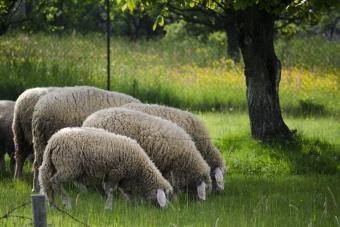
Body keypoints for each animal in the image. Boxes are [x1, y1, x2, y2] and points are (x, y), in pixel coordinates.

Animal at [39, 127, 173, 208]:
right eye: (165, 195)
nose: (165, 210)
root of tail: (53, 141)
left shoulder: (122, 179)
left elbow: (128, 195)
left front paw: (131, 207)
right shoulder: (115, 172)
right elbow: (110, 190)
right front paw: (109, 207)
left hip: (52, 164)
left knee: (46, 182)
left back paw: (52, 204)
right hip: (68, 167)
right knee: (54, 181)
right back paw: (66, 203)